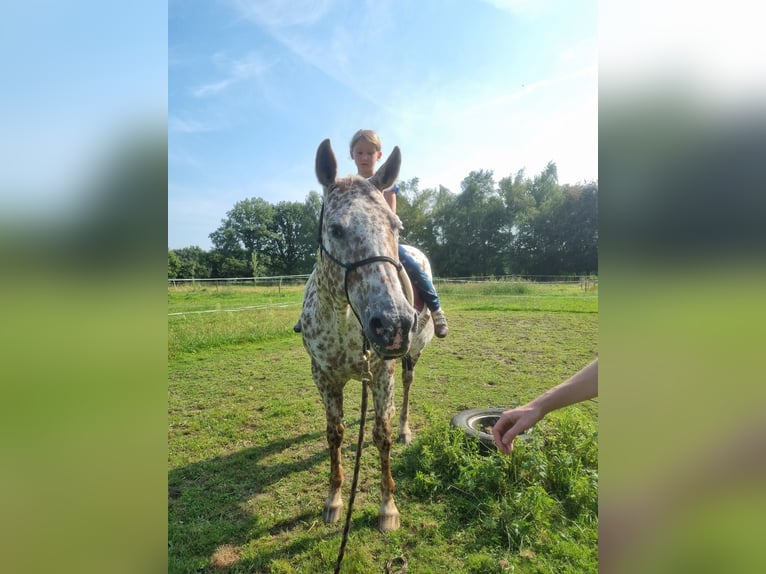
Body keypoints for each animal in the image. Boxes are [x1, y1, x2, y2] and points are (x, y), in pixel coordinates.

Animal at [302, 140, 438, 536]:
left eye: (395, 226)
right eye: (335, 229)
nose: (393, 324)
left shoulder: (381, 374)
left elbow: (382, 434)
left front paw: (387, 507)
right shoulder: (323, 376)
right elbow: (334, 433)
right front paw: (333, 500)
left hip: (410, 357)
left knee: (407, 387)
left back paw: (406, 428)